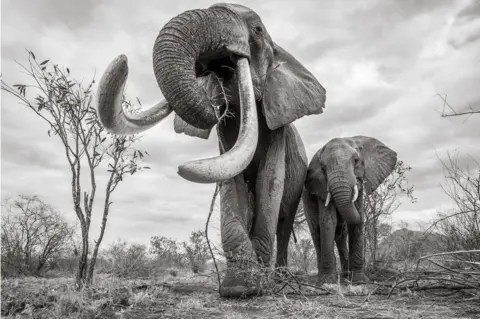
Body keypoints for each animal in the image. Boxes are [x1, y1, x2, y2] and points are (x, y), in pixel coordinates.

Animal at [94, 3, 326, 298]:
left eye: (257, 29)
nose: (212, 103)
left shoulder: (278, 128)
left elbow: (270, 181)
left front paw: (258, 287)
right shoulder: (225, 135)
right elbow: (231, 183)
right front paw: (239, 287)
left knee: (284, 221)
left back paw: (280, 279)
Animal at [304, 136, 398, 286]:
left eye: (356, 161)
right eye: (323, 168)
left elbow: (356, 221)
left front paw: (359, 280)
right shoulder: (321, 186)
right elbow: (328, 221)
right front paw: (328, 281)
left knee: (341, 235)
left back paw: (345, 275)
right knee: (316, 231)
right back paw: (323, 276)